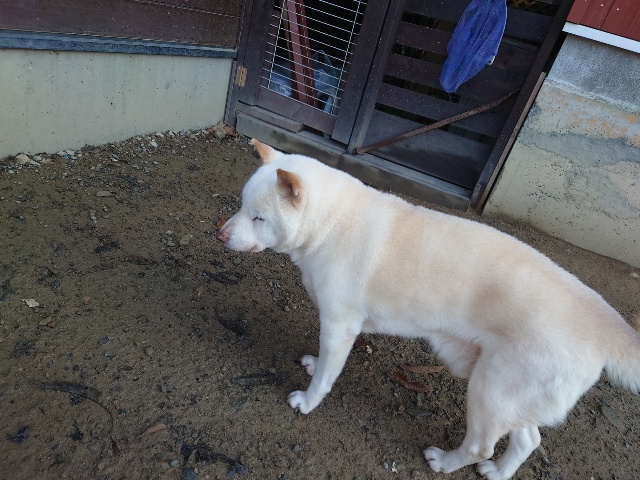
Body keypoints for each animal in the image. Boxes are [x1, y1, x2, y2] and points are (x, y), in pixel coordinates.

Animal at [216, 139, 640, 479]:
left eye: (259, 217)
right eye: (241, 205)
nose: (220, 235)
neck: (329, 222)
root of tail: (604, 325)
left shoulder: (339, 326)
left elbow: (325, 377)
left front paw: (307, 402)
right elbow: (321, 363)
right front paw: (312, 363)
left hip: (490, 390)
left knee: (481, 445)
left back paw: (444, 462)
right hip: (507, 394)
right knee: (527, 439)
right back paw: (498, 473)